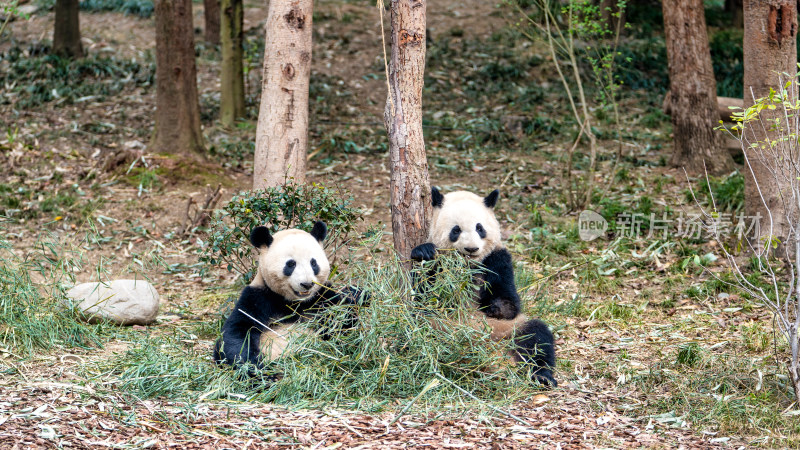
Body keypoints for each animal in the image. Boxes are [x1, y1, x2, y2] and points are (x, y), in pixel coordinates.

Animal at [212, 221, 362, 376]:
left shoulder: (321, 297)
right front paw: (256, 369)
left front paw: (356, 295)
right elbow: (236, 333)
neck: (295, 302)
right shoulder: (258, 298)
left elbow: (343, 319)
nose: (306, 284)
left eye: (313, 263)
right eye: (291, 264)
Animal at [412, 186, 556, 386]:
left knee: (536, 337)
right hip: (437, 328)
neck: (468, 265)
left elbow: (510, 301)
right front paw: (423, 252)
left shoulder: (497, 259)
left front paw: (496, 307)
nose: (472, 249)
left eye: (479, 228)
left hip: (511, 328)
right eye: (456, 230)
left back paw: (542, 376)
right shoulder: (440, 265)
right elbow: (423, 297)